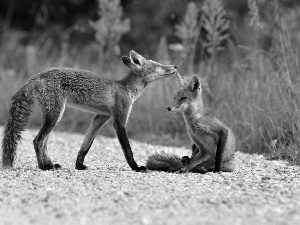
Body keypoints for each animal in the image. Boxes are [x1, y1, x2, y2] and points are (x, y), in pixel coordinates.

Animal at [1, 50, 177, 171]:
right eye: (159, 65)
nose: (175, 66)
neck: (126, 89)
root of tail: (39, 76)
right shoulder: (119, 121)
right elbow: (127, 149)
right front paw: (136, 167)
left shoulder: (100, 118)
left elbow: (86, 145)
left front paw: (79, 165)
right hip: (55, 115)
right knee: (37, 140)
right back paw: (45, 167)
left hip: (52, 116)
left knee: (43, 142)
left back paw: (49, 164)